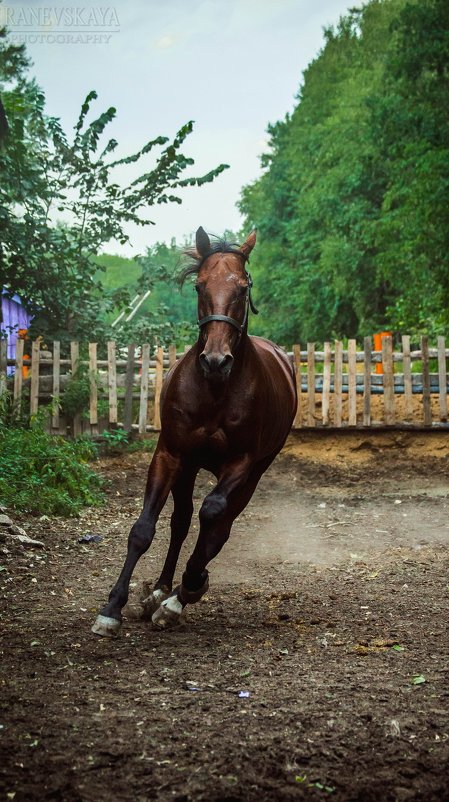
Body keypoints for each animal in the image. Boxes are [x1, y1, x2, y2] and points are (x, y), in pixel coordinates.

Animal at [91, 227, 296, 636]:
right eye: (200, 286)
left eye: (243, 288)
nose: (216, 361)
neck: (215, 391)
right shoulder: (170, 453)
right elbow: (144, 529)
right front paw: (112, 608)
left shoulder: (242, 463)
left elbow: (213, 515)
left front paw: (190, 587)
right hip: (187, 467)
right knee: (182, 520)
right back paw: (159, 590)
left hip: (254, 472)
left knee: (220, 523)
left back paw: (178, 595)